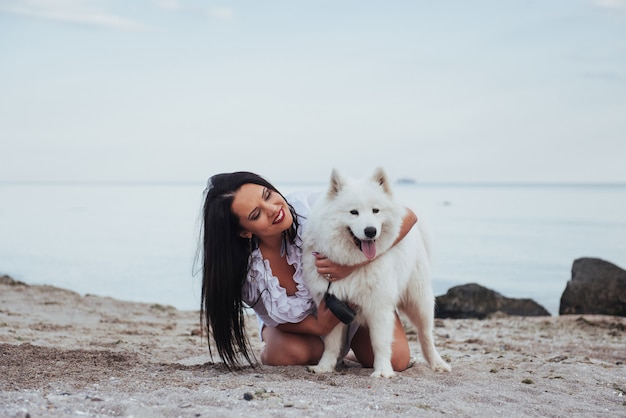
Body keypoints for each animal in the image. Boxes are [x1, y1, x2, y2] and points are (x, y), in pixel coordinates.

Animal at [302, 167, 448, 378]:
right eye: (354, 212)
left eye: (375, 210)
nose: (370, 231)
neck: (353, 264)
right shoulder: (332, 306)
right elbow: (330, 343)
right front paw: (324, 367)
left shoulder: (379, 307)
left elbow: (380, 343)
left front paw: (383, 371)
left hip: (419, 301)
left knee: (426, 334)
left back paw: (437, 363)